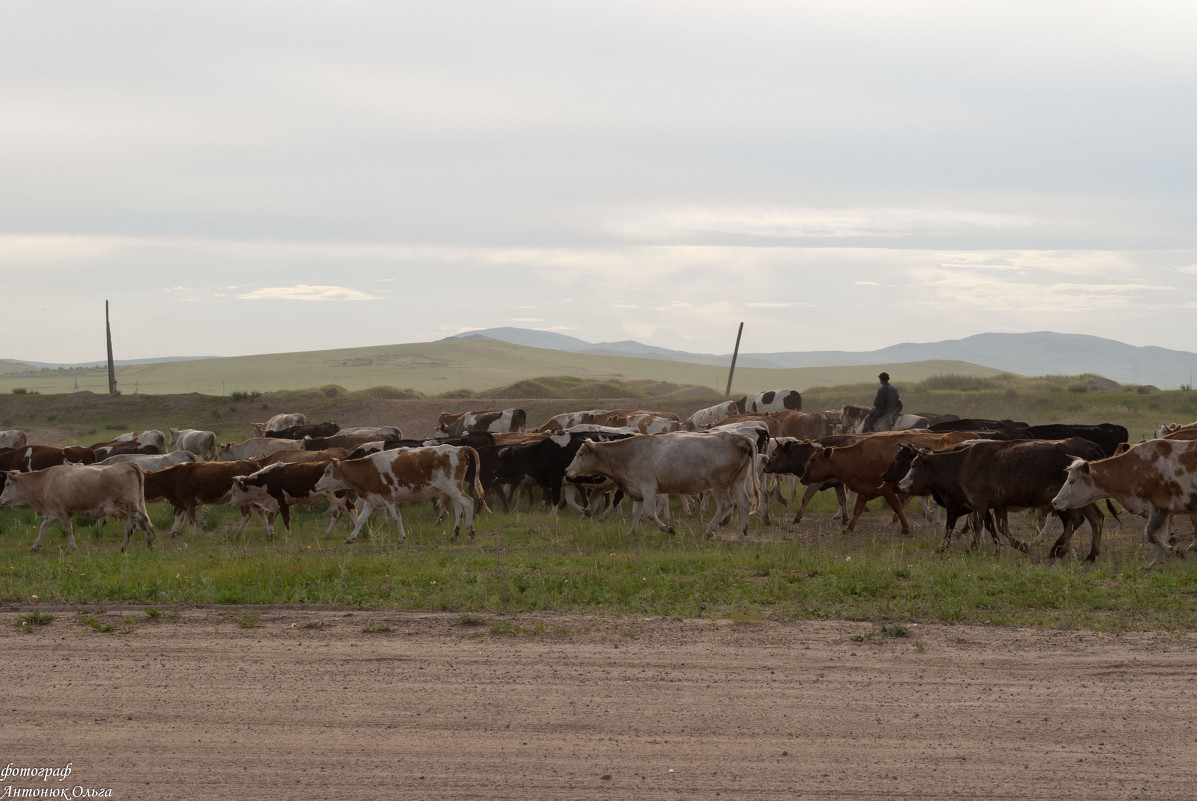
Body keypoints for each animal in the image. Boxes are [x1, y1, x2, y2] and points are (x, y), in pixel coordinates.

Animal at [0, 459, 154, 553]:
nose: (0, 499)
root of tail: (128, 463)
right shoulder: (52, 513)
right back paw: (123, 548)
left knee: (142, 520)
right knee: (129, 527)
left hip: (128, 505)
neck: (44, 481)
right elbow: (43, 528)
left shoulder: (61, 512)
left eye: (7, 484)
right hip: (128, 509)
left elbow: (68, 529)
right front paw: (35, 546)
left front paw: (71, 548)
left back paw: (149, 543)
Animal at [318, 443, 490, 543]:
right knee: (459, 509)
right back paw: (454, 535)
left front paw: (401, 537)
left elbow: (396, 517)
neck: (367, 470)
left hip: (452, 487)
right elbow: (361, 520)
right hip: (452, 490)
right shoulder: (372, 500)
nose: (316, 485)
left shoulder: (389, 498)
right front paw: (351, 538)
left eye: (327, 471)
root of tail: (459, 448)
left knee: (468, 502)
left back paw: (470, 530)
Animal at [562, 431, 756, 536]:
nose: (566, 471)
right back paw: (743, 532)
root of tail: (736, 436)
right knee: (745, 503)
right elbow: (636, 513)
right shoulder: (637, 491)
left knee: (726, 504)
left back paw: (709, 531)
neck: (626, 454)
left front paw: (668, 529)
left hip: (719, 483)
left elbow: (649, 513)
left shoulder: (649, 488)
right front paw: (632, 532)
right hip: (737, 481)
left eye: (580, 454)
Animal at [1053, 438, 1197, 567]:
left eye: (1072, 480)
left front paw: (1176, 552)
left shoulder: (1160, 505)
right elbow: (1159, 536)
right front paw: (1156, 563)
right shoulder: (1160, 509)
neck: (1140, 467)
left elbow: (1150, 534)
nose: (1055, 501)